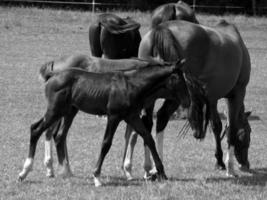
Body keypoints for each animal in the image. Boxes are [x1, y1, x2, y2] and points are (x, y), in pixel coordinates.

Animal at [18, 55, 189, 186]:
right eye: (179, 79)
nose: (188, 100)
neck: (132, 84)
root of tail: (53, 75)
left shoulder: (132, 116)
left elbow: (148, 138)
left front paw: (161, 172)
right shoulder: (113, 116)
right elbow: (106, 143)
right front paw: (97, 176)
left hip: (69, 111)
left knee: (59, 135)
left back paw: (65, 172)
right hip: (55, 111)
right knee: (36, 129)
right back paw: (25, 172)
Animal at [138, 19, 253, 177]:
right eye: (248, 133)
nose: (246, 165)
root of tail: (162, 28)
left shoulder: (212, 98)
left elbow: (216, 126)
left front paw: (219, 161)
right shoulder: (237, 94)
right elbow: (231, 129)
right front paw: (229, 167)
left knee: (150, 122)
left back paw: (150, 168)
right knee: (161, 117)